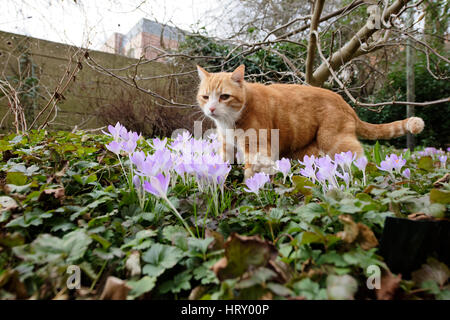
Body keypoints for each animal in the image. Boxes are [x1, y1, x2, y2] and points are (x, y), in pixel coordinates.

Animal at [196, 64, 426, 178]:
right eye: (206, 97)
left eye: (224, 96)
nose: (212, 109)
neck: (230, 120)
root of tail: (345, 103)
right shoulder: (226, 145)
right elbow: (223, 161)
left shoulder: (258, 146)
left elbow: (253, 169)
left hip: (333, 140)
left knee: (357, 156)